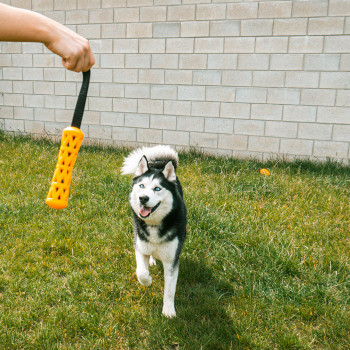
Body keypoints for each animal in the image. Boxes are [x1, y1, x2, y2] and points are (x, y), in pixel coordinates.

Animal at [121, 145, 186, 318]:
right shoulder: (139, 246)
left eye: (157, 188)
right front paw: (147, 281)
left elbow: (170, 289)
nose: (143, 198)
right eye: (141, 185)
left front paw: (168, 310)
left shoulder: (171, 259)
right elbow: (140, 272)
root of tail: (159, 165)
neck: (155, 224)